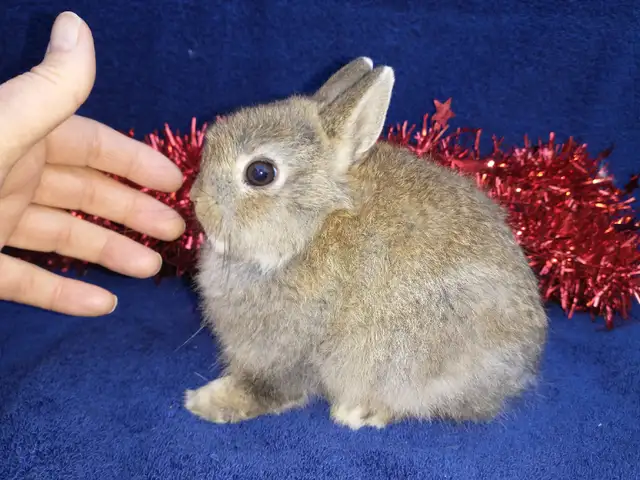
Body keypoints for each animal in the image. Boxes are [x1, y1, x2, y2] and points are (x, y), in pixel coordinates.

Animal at [184, 57, 548, 430]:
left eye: (260, 173)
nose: (195, 199)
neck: (310, 231)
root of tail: (518, 370)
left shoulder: (289, 352)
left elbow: (266, 389)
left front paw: (202, 402)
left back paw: (360, 411)